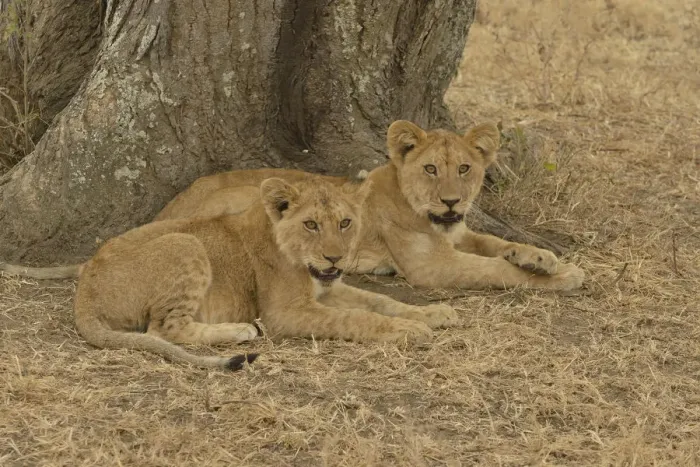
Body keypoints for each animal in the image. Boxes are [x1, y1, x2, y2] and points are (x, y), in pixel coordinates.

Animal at [70, 177, 457, 369]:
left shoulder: (327, 288)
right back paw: (241, 330)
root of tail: (84, 292)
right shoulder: (285, 313)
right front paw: (408, 330)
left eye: (345, 222)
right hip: (186, 242)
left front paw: (434, 312)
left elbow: (380, 300)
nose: (335, 258)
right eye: (311, 224)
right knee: (164, 329)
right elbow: (355, 317)